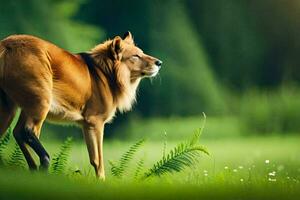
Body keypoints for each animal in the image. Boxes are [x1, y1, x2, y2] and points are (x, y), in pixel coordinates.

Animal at [0, 32, 162, 179]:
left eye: (142, 52)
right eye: (135, 56)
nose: (159, 63)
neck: (105, 73)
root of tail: (7, 44)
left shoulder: (86, 125)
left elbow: (94, 160)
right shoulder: (95, 122)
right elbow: (98, 161)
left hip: (13, 110)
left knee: (17, 132)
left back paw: (33, 169)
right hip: (40, 104)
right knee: (26, 131)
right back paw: (44, 164)